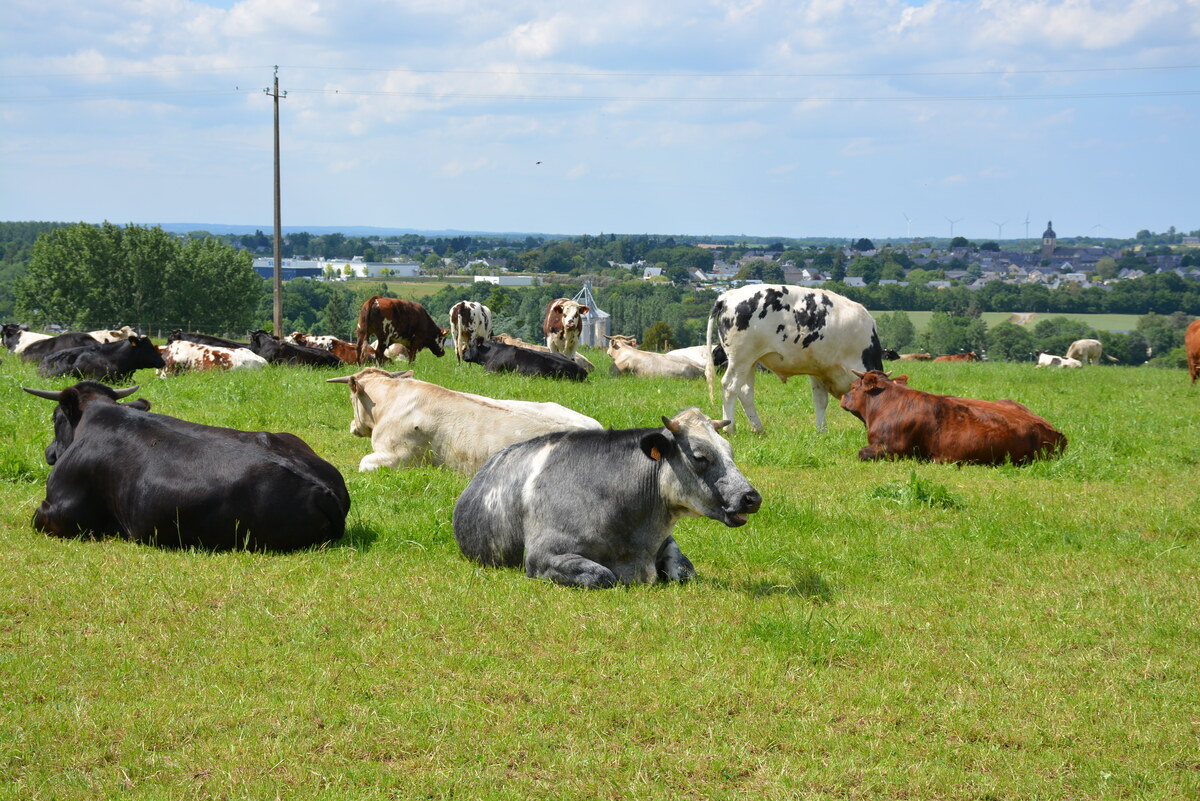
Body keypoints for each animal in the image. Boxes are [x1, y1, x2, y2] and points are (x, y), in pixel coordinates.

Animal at [451, 407, 758, 587]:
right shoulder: (541, 556)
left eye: (729, 450)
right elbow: (603, 575)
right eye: (699, 456)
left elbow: (685, 572)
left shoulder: (666, 542)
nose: (751, 497)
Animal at [700, 281, 883, 431]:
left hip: (750, 362)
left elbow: (820, 401)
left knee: (745, 392)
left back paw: (758, 429)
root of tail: (727, 296)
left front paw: (821, 430)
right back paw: (729, 428)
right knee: (730, 388)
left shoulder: (818, 369)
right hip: (740, 359)